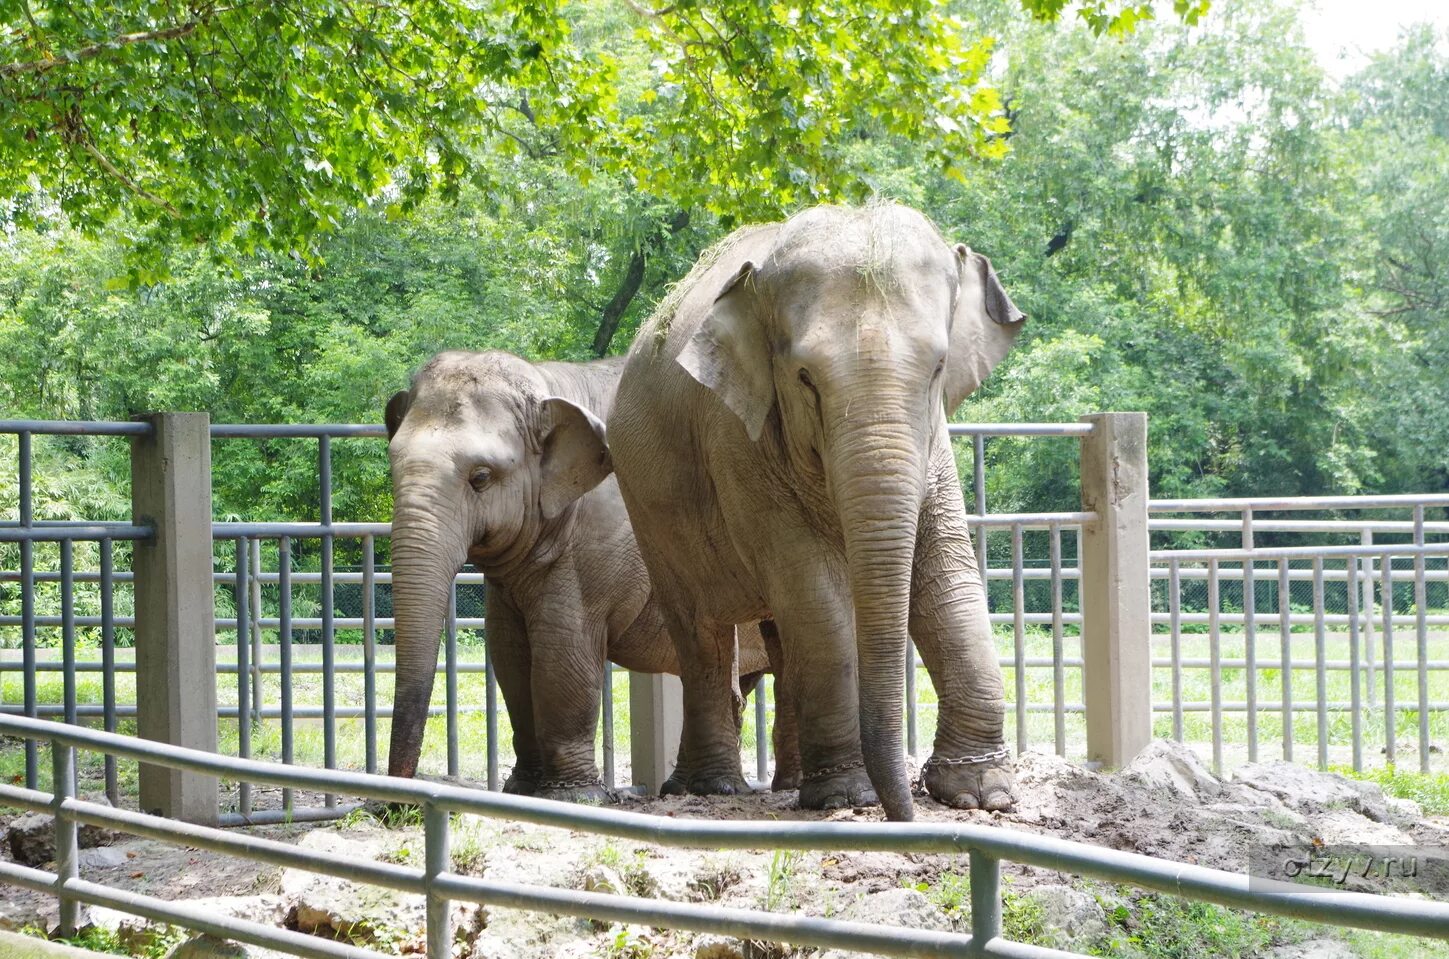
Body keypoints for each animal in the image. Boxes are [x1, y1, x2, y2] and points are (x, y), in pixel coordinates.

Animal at [379, 349, 799, 799]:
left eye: (480, 478)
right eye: (392, 468)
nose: (395, 804)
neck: (548, 383)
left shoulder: (601, 538)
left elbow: (562, 649)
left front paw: (572, 796)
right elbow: (509, 652)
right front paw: (522, 791)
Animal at [605, 202, 1025, 817]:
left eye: (938, 368)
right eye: (805, 378)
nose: (903, 809)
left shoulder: (936, 447)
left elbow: (948, 577)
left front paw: (980, 793)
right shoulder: (738, 438)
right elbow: (814, 592)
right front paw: (847, 795)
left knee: (780, 638)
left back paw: (788, 783)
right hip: (650, 509)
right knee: (703, 635)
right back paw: (711, 788)